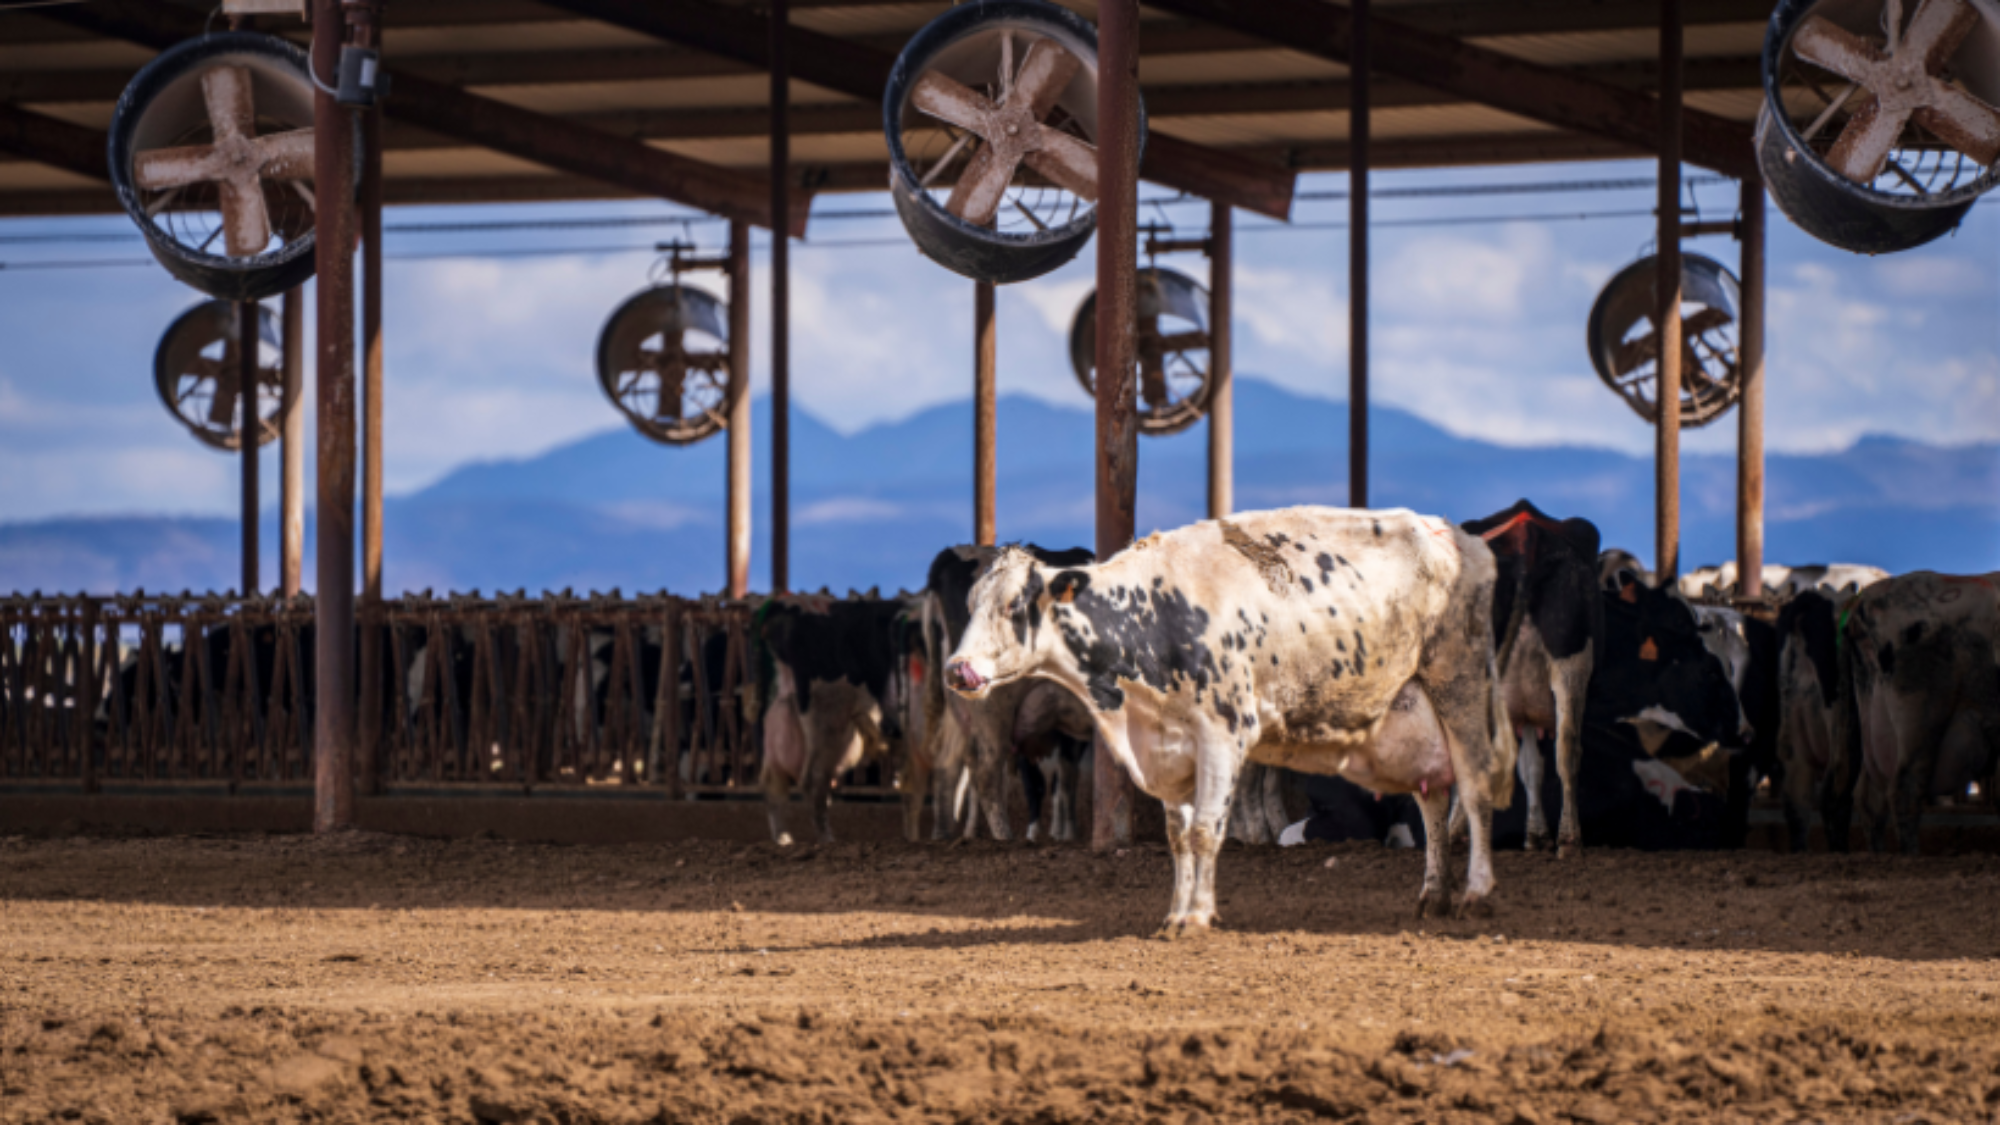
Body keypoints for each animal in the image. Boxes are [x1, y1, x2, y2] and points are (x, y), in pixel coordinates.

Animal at [920, 540, 1096, 836]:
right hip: (992, 707)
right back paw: (1005, 838)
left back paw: (946, 835)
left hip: (960, 707)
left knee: (947, 763)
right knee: (987, 774)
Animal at [944, 506, 1504, 928]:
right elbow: (1178, 838)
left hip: (1457, 681)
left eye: (1014, 605)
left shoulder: (1223, 734)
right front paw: (1176, 913)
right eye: (970, 603)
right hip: (1415, 706)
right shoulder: (1169, 747)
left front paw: (1197, 917)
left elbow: (1205, 831)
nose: (957, 669)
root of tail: (1457, 537)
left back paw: (1477, 894)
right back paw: (1434, 894)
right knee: (1433, 798)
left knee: (1474, 785)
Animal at [1472, 494, 1608, 852]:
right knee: (1567, 748)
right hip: (1569, 660)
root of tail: (1526, 533)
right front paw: (1537, 835)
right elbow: (1531, 766)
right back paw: (1568, 837)